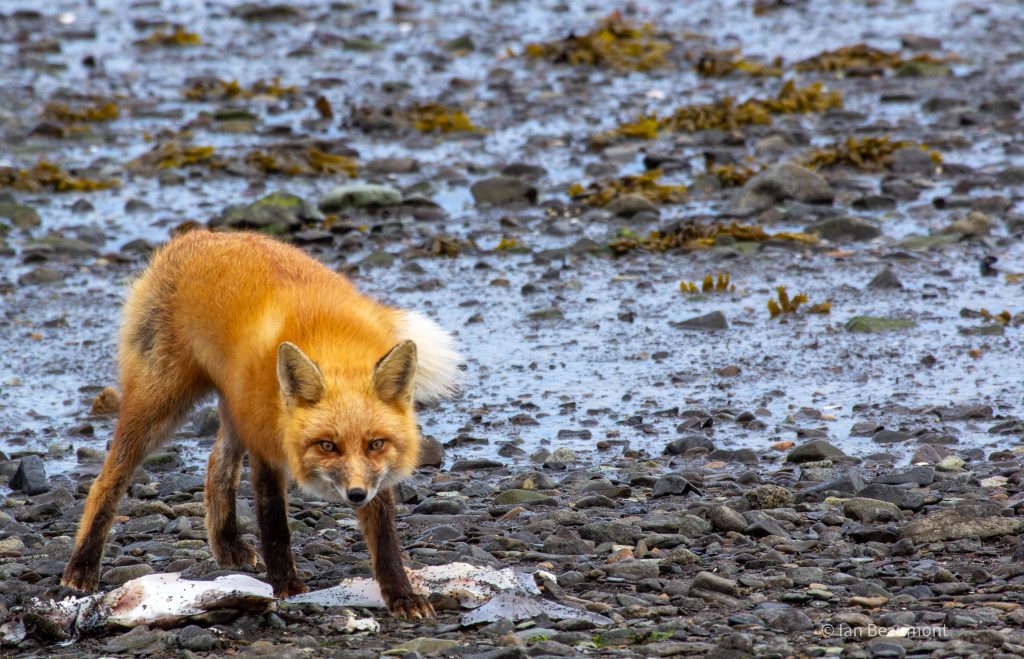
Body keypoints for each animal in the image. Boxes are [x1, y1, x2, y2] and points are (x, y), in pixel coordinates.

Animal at [60, 229, 462, 618]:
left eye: (376, 444)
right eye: (327, 445)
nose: (356, 496)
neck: (332, 341)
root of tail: (195, 235)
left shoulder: (375, 474)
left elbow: (385, 540)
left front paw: (401, 596)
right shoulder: (266, 447)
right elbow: (274, 525)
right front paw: (287, 586)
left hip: (234, 411)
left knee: (216, 465)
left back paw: (226, 544)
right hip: (159, 405)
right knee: (107, 481)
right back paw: (83, 565)